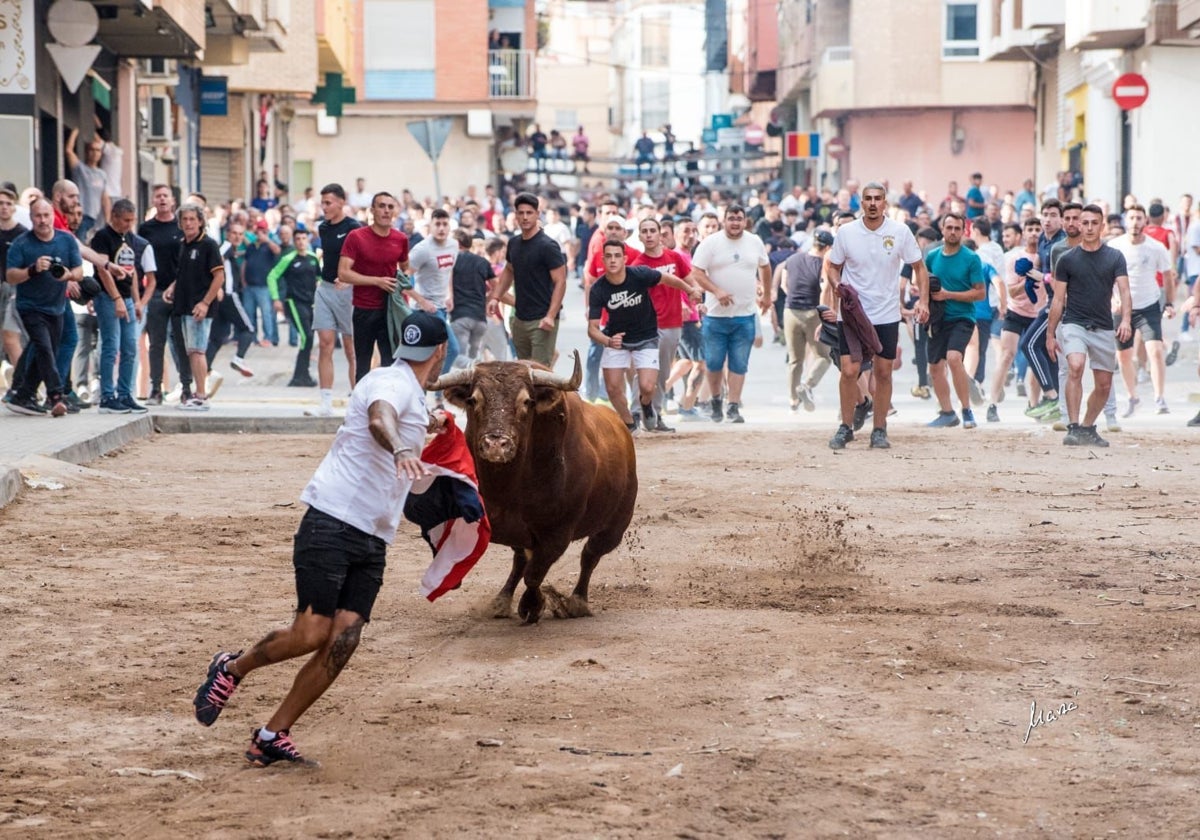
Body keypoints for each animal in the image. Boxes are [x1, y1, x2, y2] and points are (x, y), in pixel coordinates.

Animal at [432, 350, 638, 619]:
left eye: (526, 402)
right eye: (473, 400)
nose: (496, 444)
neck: (507, 488)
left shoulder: (557, 534)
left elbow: (534, 574)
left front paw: (532, 605)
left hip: (614, 526)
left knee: (590, 556)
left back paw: (577, 601)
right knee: (521, 561)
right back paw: (502, 599)